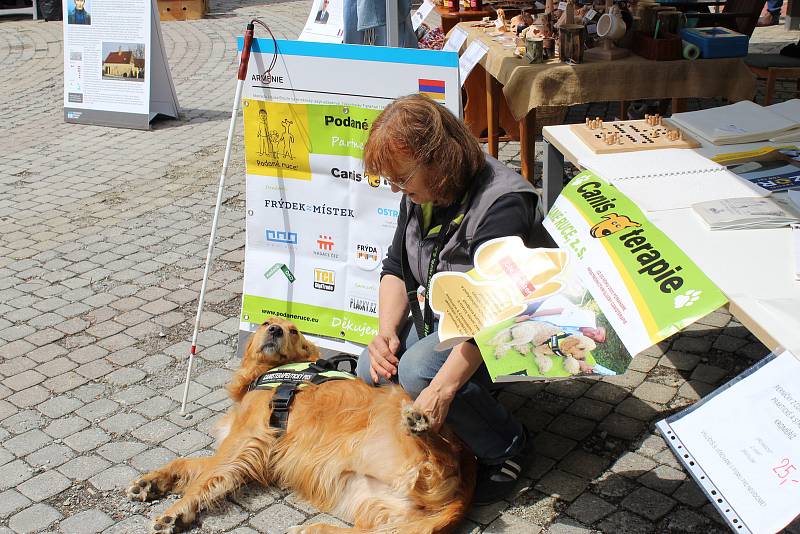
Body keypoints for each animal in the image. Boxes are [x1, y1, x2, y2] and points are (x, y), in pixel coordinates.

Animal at [126, 320, 476, 532]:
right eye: (266, 322)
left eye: (293, 331)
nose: (275, 330)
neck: (273, 372)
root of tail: (467, 484)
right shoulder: (254, 457)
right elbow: (189, 464)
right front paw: (151, 482)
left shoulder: (244, 440)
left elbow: (205, 477)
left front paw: (175, 510)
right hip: (372, 498)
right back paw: (312, 528)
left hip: (402, 440)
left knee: (439, 455)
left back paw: (420, 423)